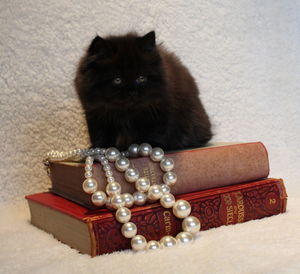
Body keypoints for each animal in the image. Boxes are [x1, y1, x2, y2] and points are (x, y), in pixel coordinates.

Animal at [74, 31, 212, 151]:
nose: (132, 92)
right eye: (117, 80)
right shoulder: (96, 112)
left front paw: (150, 145)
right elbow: (100, 134)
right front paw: (99, 149)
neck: (126, 113)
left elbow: (154, 131)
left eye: (141, 78)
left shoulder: (158, 107)